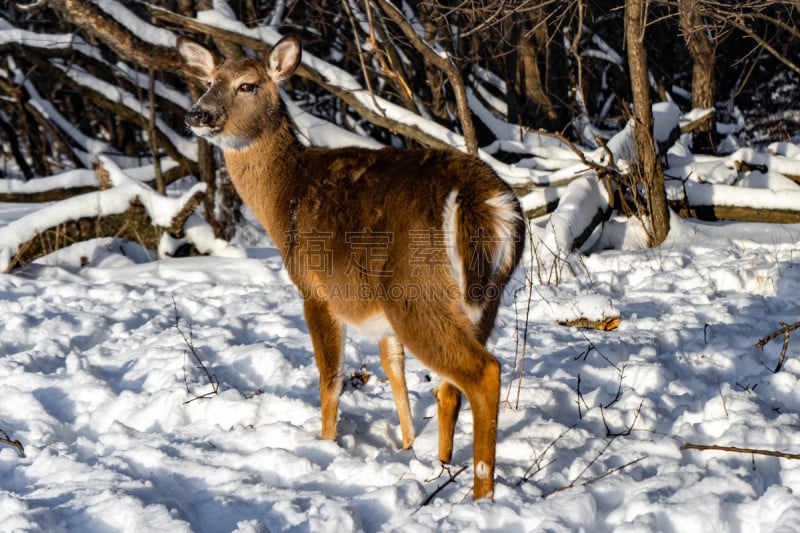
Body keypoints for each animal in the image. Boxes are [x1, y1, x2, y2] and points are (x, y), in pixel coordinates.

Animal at [177, 34, 524, 498]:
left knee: (484, 372)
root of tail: (482, 201)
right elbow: (394, 372)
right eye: (209, 81)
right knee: (450, 388)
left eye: (247, 85)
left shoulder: (315, 287)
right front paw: (407, 446)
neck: (284, 200)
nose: (197, 113)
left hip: (417, 292)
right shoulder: (380, 314)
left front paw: (326, 444)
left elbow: (331, 377)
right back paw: (442, 466)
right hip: (480, 300)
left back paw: (480, 494)